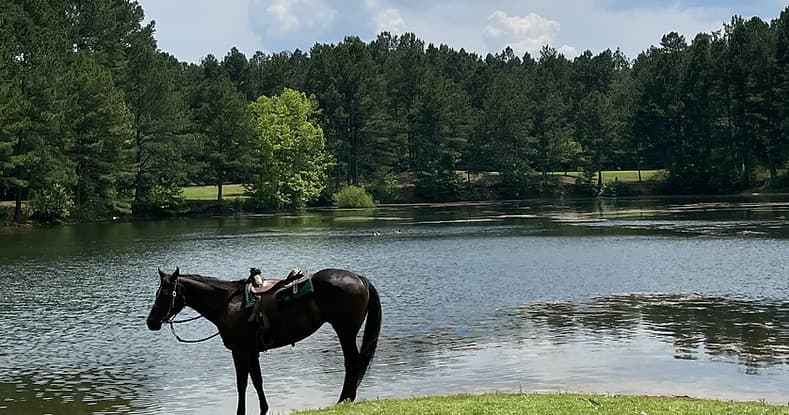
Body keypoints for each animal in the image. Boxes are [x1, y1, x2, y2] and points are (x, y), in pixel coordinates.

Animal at [145, 267, 382, 415]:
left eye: (165, 293)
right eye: (157, 292)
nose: (151, 322)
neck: (227, 304)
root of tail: (359, 278)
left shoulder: (239, 351)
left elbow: (241, 384)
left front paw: (241, 411)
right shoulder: (251, 351)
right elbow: (257, 381)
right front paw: (264, 408)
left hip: (345, 331)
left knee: (352, 363)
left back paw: (345, 399)